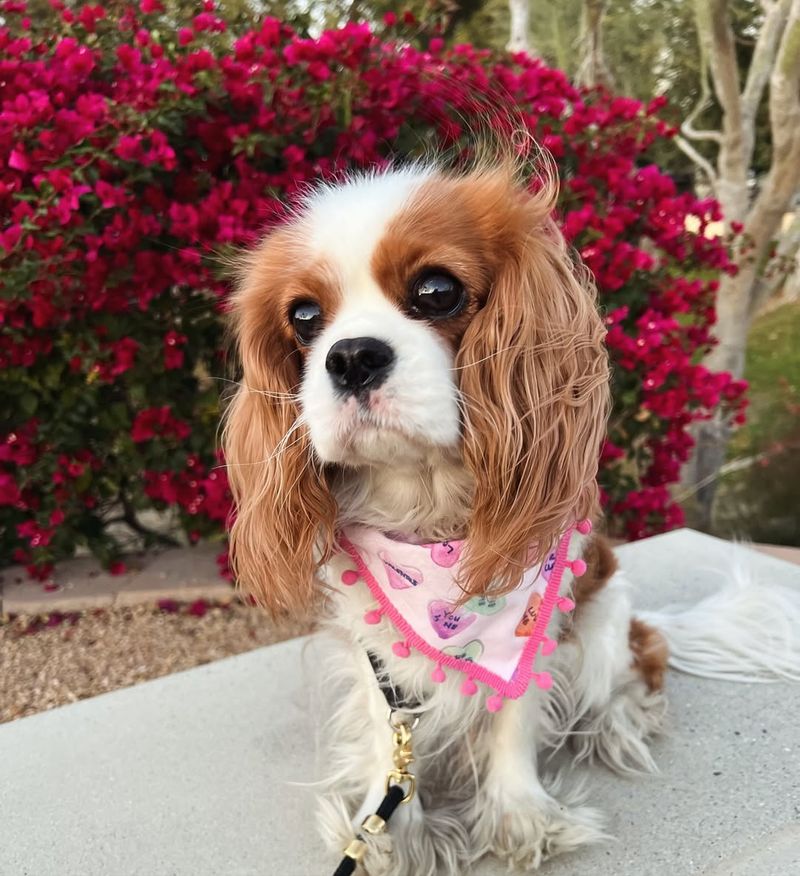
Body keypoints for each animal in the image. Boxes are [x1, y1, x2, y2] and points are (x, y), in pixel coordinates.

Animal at [222, 161, 800, 872]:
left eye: (437, 290)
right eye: (304, 317)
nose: (350, 355)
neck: (432, 519)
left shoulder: (535, 622)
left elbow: (516, 709)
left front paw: (520, 816)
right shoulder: (374, 646)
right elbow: (391, 735)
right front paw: (390, 833)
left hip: (605, 620)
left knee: (639, 663)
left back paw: (617, 719)